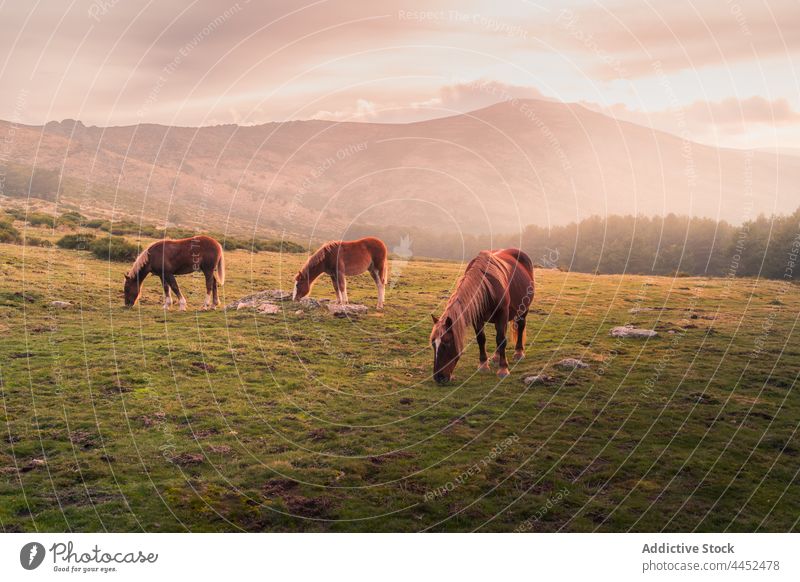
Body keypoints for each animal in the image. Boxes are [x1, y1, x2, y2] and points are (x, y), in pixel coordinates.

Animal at [428, 249, 536, 386]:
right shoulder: (477, 317)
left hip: (523, 309)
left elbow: (501, 340)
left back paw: (518, 352)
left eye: (447, 343)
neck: (487, 287)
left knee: (520, 327)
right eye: (433, 344)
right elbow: (481, 339)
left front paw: (503, 369)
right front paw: (483, 365)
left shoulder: (502, 313)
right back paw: (496, 356)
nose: (438, 378)